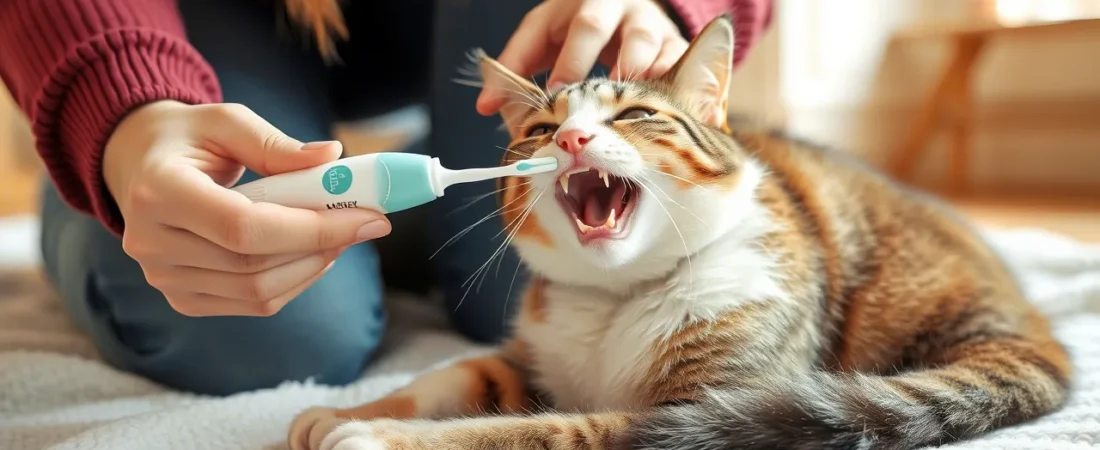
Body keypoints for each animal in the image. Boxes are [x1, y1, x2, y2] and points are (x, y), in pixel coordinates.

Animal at [283, 14, 1064, 448]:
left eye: (634, 116)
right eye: (538, 129)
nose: (569, 139)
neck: (616, 299)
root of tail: (1026, 318)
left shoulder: (711, 410)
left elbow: (542, 430)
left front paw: (381, 435)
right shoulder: (530, 357)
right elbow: (453, 372)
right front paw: (341, 410)